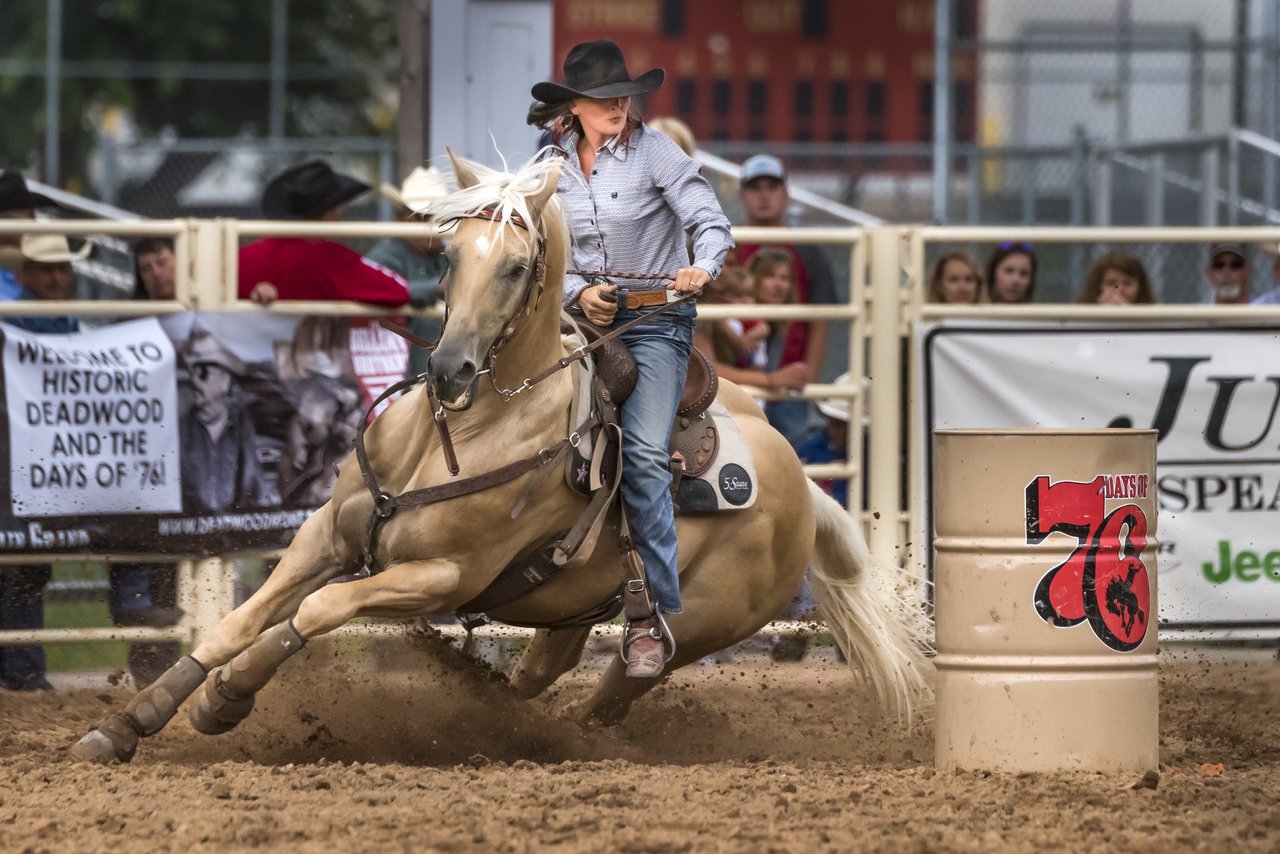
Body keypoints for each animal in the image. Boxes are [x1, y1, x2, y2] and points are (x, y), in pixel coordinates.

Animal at [72, 151, 931, 768]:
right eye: (449, 254)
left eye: (516, 267)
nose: (451, 369)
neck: (465, 430)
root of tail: (805, 487)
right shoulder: (326, 536)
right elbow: (239, 620)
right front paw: (130, 723)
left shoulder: (440, 576)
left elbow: (314, 613)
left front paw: (227, 700)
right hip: (571, 604)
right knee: (540, 674)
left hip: (702, 623)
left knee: (617, 688)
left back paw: (559, 734)